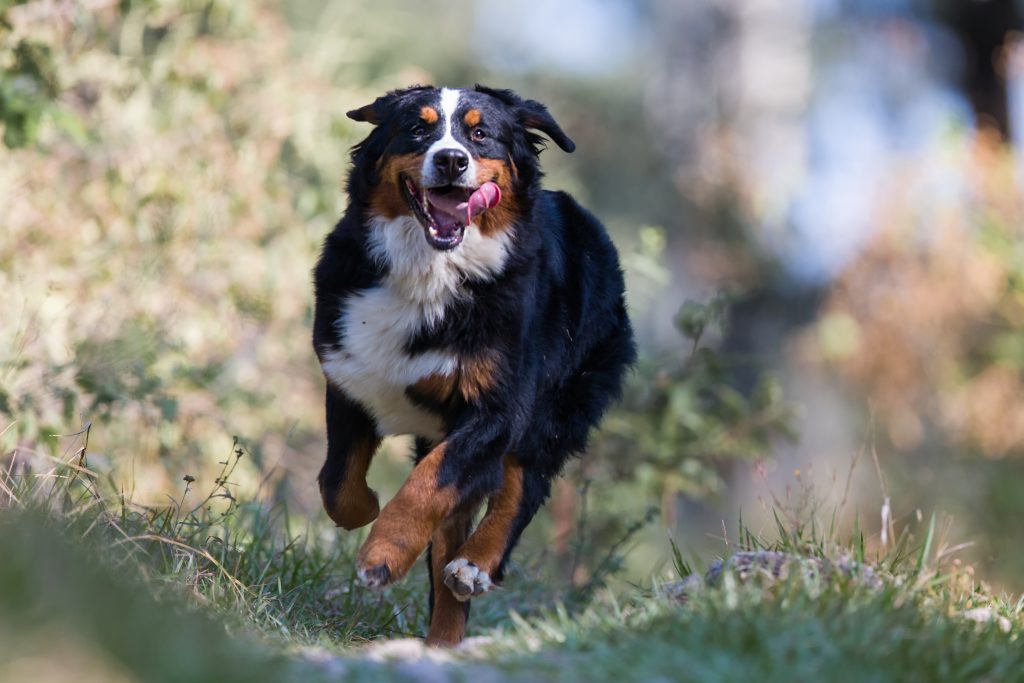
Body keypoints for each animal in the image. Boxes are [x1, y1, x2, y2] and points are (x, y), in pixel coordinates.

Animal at [307, 85, 634, 647]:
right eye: (418, 129)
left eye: (481, 134)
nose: (452, 160)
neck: (430, 273)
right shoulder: (349, 374)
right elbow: (338, 482)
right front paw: (367, 508)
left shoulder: (496, 409)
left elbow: (428, 485)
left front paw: (382, 556)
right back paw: (443, 640)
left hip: (555, 407)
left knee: (523, 484)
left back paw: (475, 565)